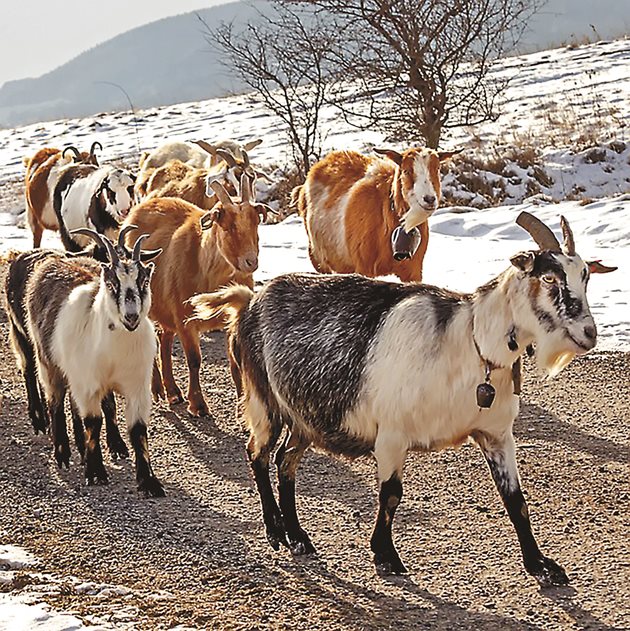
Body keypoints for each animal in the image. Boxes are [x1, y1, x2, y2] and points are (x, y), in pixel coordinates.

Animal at [11, 230, 164, 496]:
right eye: (111, 284)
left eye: (144, 282)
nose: (131, 316)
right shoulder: (88, 382)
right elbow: (94, 421)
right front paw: (95, 473)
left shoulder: (137, 386)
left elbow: (137, 428)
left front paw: (148, 481)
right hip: (44, 358)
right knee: (53, 400)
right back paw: (61, 451)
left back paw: (81, 450)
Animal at [124, 175, 274, 418]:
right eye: (227, 226)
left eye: (255, 223)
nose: (250, 262)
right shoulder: (185, 318)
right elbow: (194, 360)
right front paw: (198, 405)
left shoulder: (230, 319)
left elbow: (235, 362)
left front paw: (241, 405)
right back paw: (157, 389)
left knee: (164, 338)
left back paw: (173, 392)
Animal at [191, 212, 616, 588]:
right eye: (549, 276)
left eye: (585, 276)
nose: (589, 334)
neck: (469, 341)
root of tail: (248, 300)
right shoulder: (392, 436)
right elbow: (392, 494)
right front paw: (386, 557)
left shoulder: (496, 434)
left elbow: (516, 500)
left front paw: (542, 566)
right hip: (265, 402)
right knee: (257, 455)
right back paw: (276, 532)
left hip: (306, 417)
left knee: (285, 462)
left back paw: (299, 538)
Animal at [296, 148, 460, 282]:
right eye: (406, 171)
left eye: (437, 168)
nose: (429, 199)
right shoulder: (363, 266)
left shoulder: (413, 270)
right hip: (318, 258)